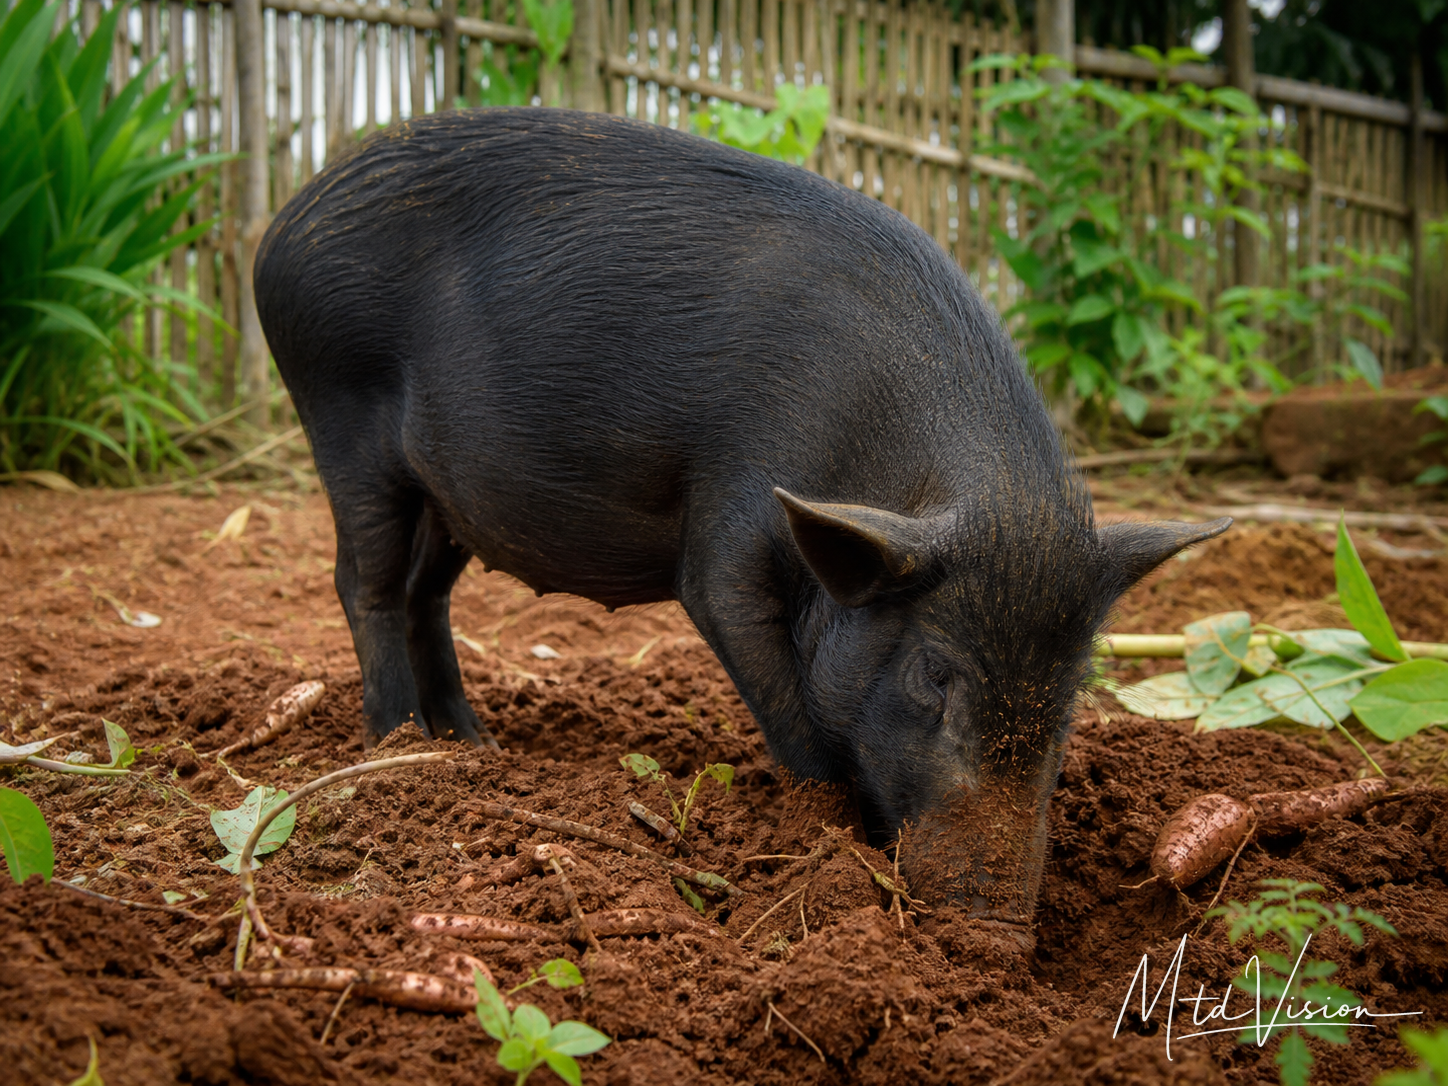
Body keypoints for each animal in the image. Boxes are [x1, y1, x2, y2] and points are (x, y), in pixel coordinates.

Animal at [255, 108, 1228, 926]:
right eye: (935, 673)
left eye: (1075, 686)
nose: (994, 930)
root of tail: (283, 227)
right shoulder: (730, 524)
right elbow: (778, 687)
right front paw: (834, 846)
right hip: (342, 417)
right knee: (365, 583)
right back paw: (395, 744)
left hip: (449, 494)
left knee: (427, 593)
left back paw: (471, 743)